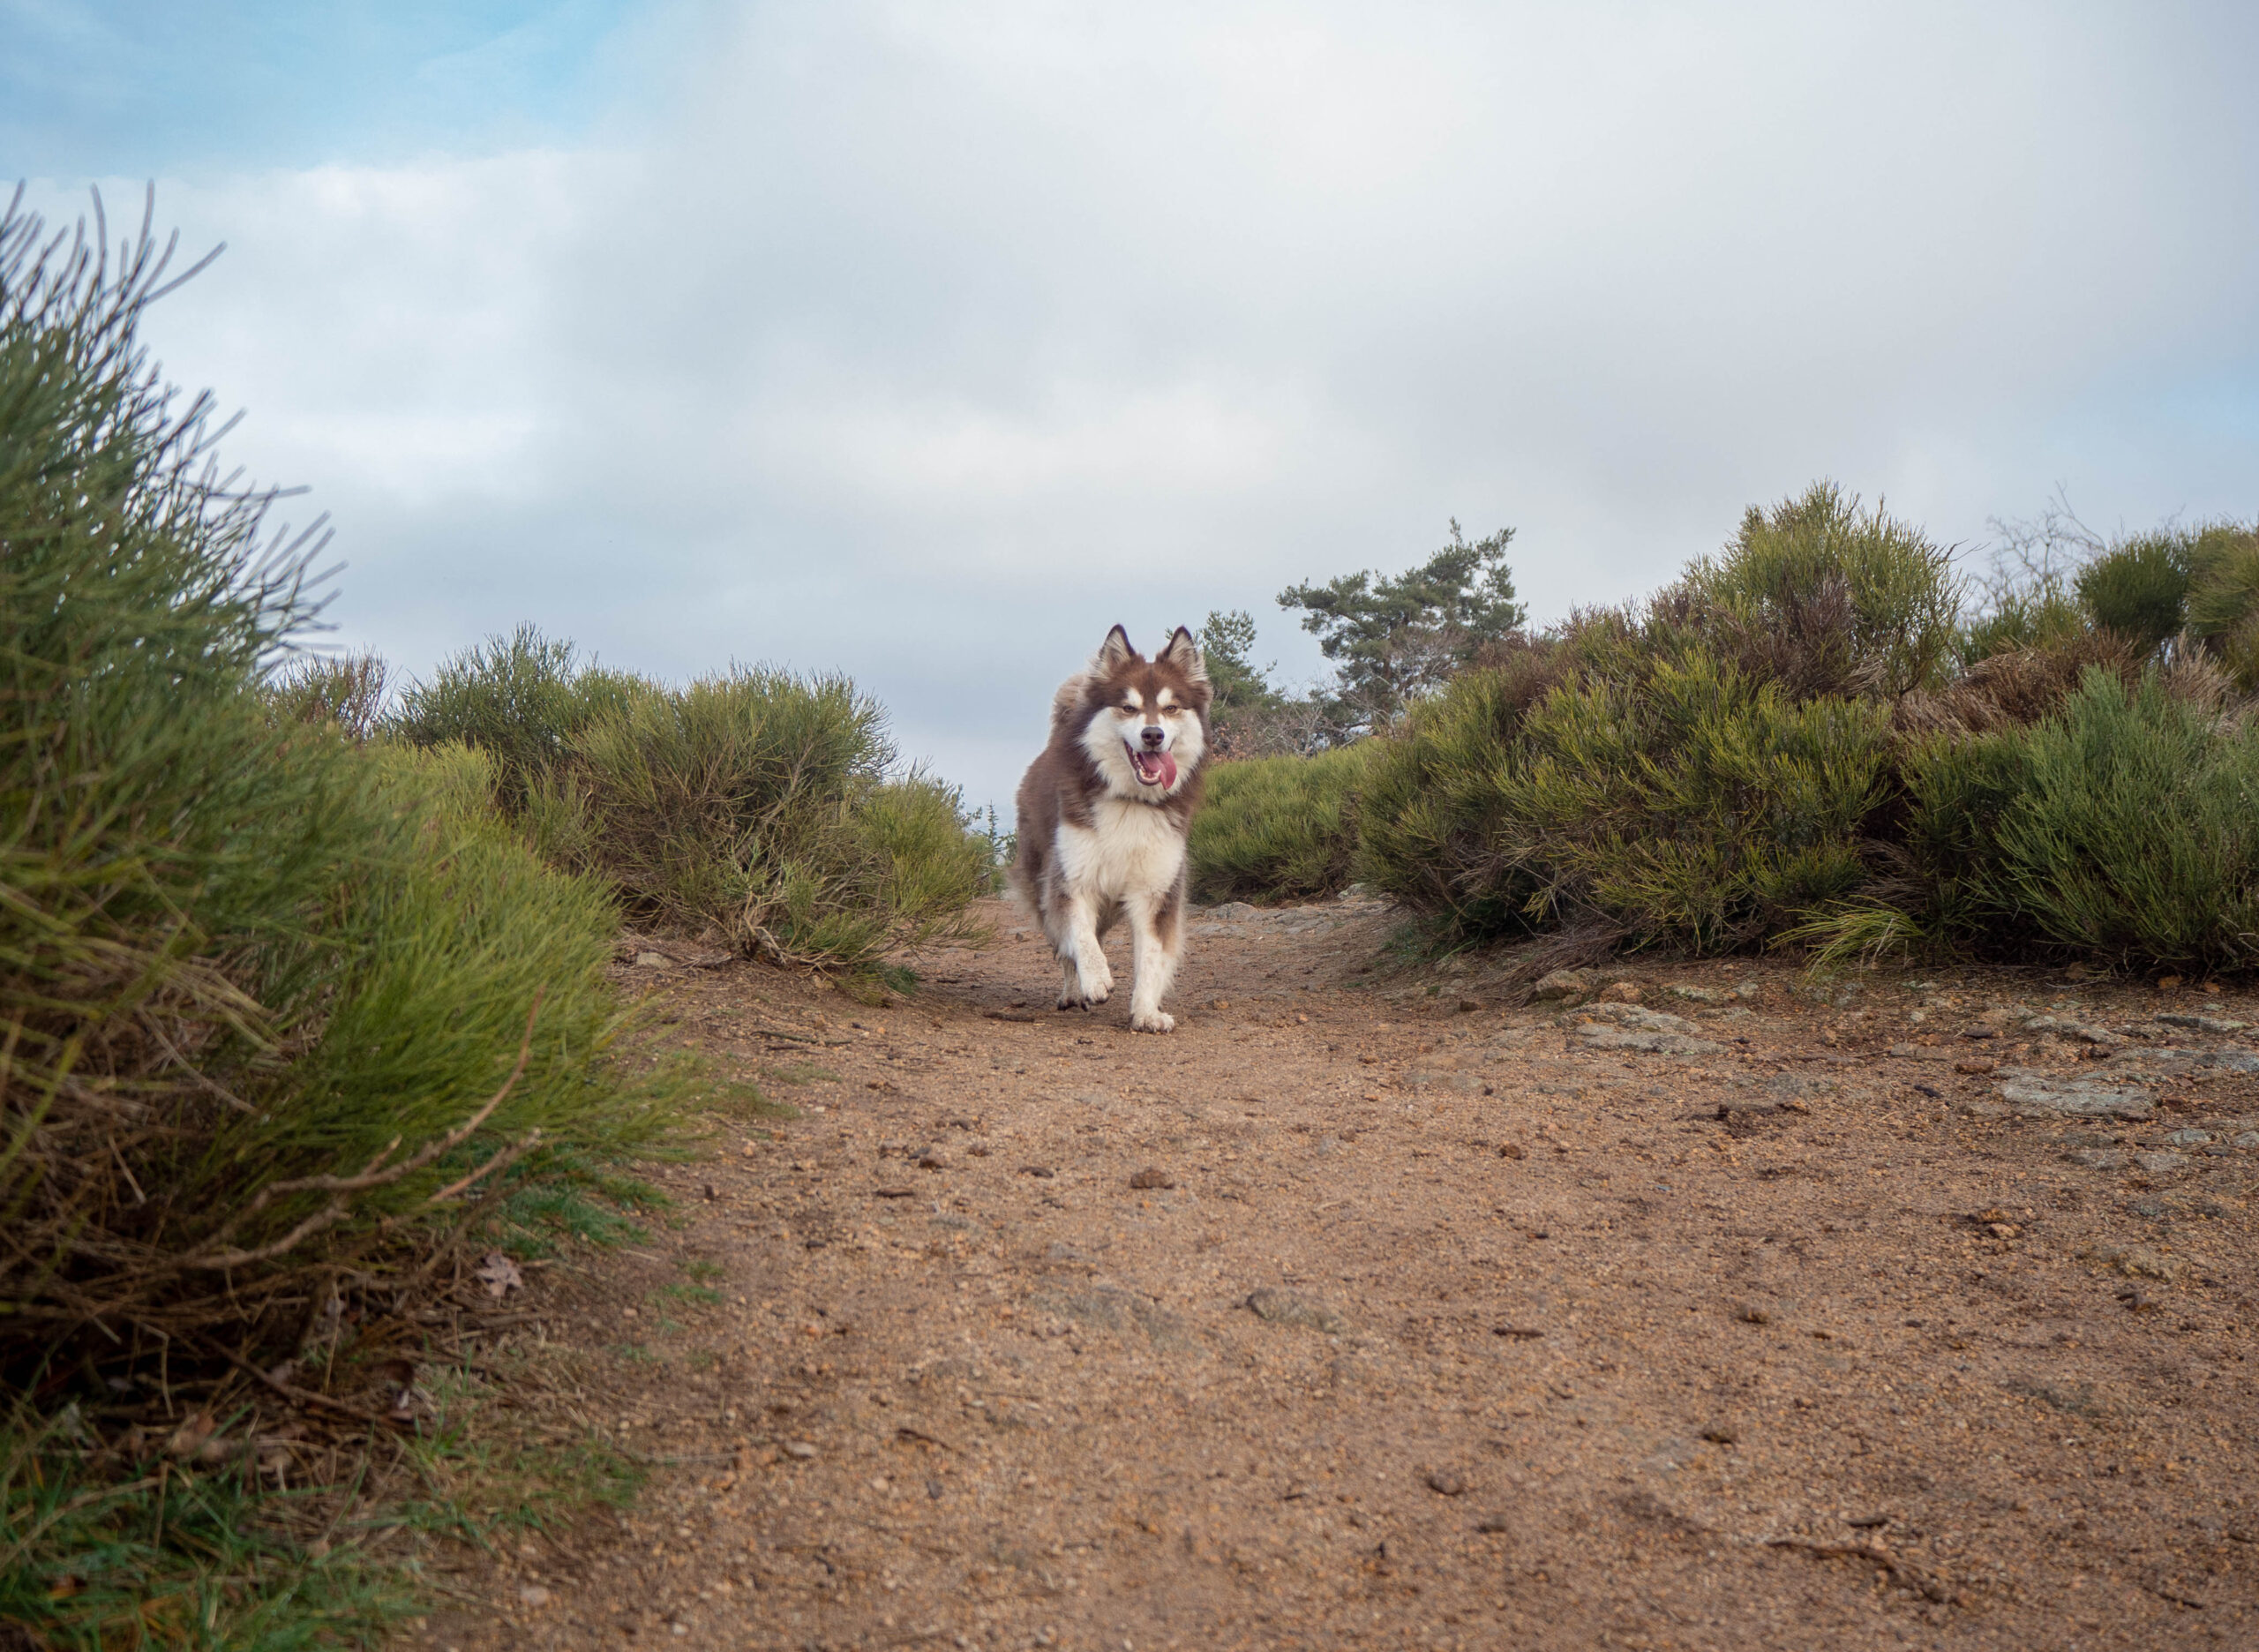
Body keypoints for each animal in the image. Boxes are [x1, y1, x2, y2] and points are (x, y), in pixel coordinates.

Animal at [1011, 623, 1211, 1025]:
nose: (1153, 735)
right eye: (1128, 707)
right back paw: (1074, 991)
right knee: (1065, 947)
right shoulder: (1072, 880)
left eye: (1170, 708)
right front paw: (1096, 977)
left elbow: (1151, 957)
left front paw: (1147, 1011)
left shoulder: (1156, 892)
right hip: (1041, 879)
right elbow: (1079, 935)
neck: (1131, 802)